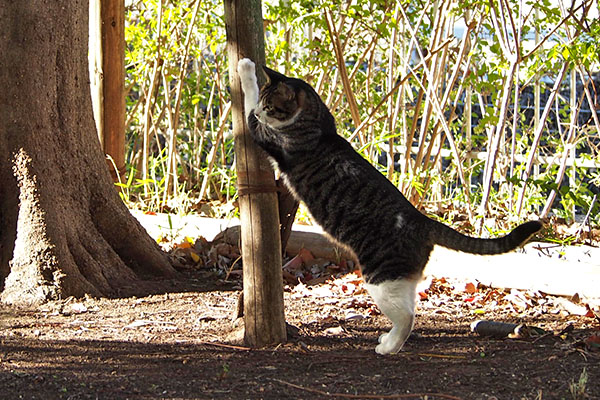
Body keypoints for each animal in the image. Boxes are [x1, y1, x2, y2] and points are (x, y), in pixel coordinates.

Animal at [237, 58, 540, 354]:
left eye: (268, 106)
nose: (263, 114)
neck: (317, 121)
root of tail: (422, 221)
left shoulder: (264, 133)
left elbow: (247, 101)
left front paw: (245, 67)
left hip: (381, 277)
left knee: (407, 317)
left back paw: (388, 347)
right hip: (400, 279)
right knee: (412, 307)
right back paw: (388, 339)